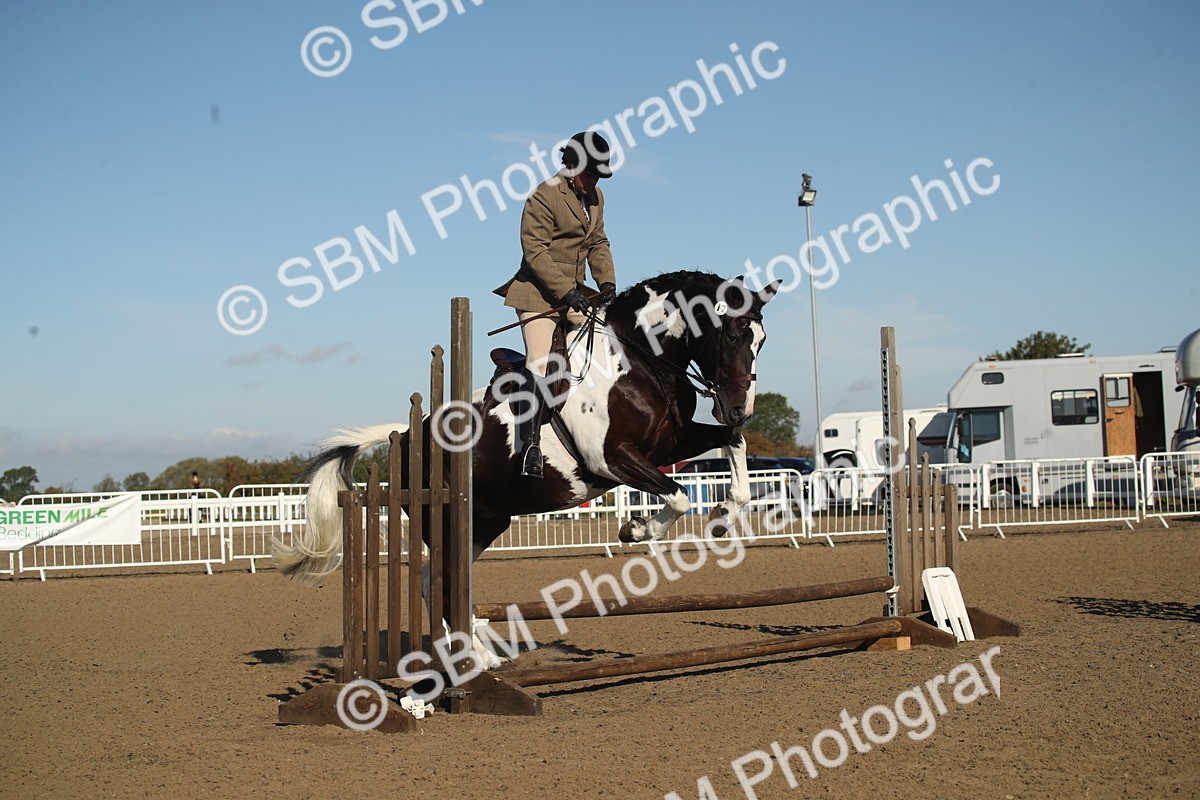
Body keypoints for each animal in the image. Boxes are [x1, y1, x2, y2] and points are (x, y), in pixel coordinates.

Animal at [274, 270, 782, 586]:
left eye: (761, 340)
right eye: (731, 335)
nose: (738, 408)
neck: (640, 360)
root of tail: (408, 435)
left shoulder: (669, 444)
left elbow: (733, 453)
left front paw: (723, 515)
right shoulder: (611, 458)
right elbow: (677, 495)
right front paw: (636, 530)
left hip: (486, 522)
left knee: (435, 582)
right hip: (447, 522)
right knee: (436, 582)